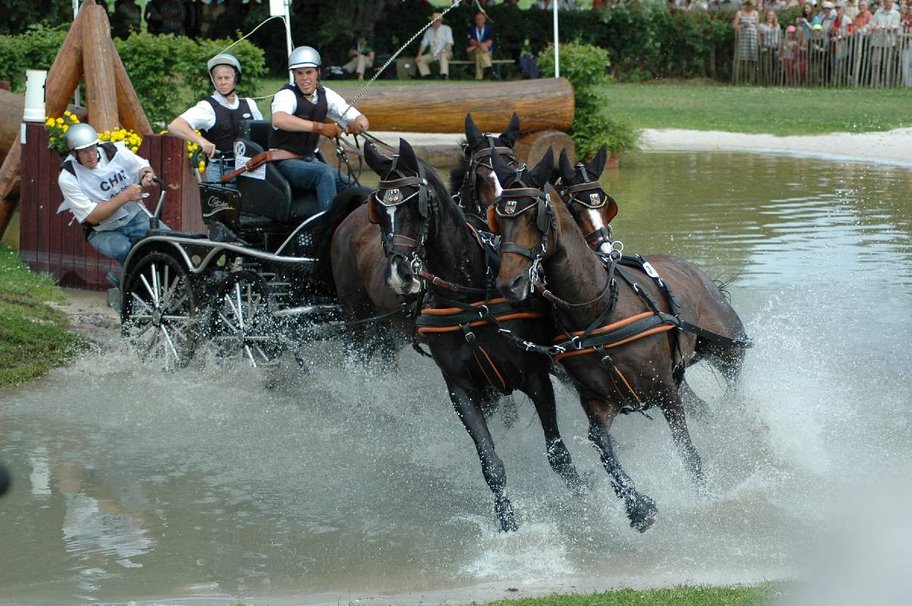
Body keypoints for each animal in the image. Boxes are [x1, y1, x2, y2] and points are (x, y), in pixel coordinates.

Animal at [360, 137, 588, 532]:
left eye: (416, 205)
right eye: (378, 209)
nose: (399, 275)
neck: (469, 296)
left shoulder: (536, 378)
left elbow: (558, 453)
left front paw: (588, 501)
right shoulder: (462, 388)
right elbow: (490, 463)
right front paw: (507, 522)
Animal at [488, 148, 752, 532]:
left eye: (536, 216)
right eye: (498, 217)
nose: (509, 283)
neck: (599, 307)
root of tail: (698, 273)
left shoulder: (666, 391)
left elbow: (686, 450)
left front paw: (703, 494)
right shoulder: (598, 401)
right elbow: (602, 447)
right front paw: (637, 507)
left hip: (727, 349)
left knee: (735, 390)